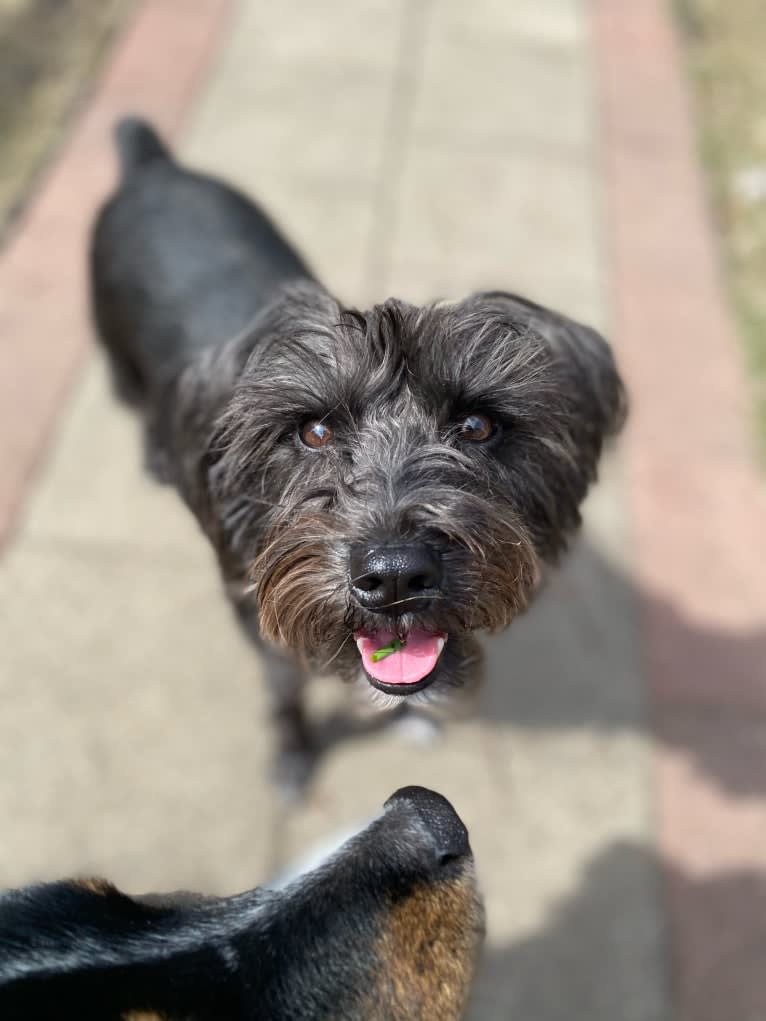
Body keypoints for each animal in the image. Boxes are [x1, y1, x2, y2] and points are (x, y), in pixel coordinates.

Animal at [91, 117, 629, 788]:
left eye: (477, 425)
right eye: (314, 432)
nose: (395, 576)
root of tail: (151, 166)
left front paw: (411, 718)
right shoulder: (254, 616)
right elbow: (283, 687)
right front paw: (293, 753)